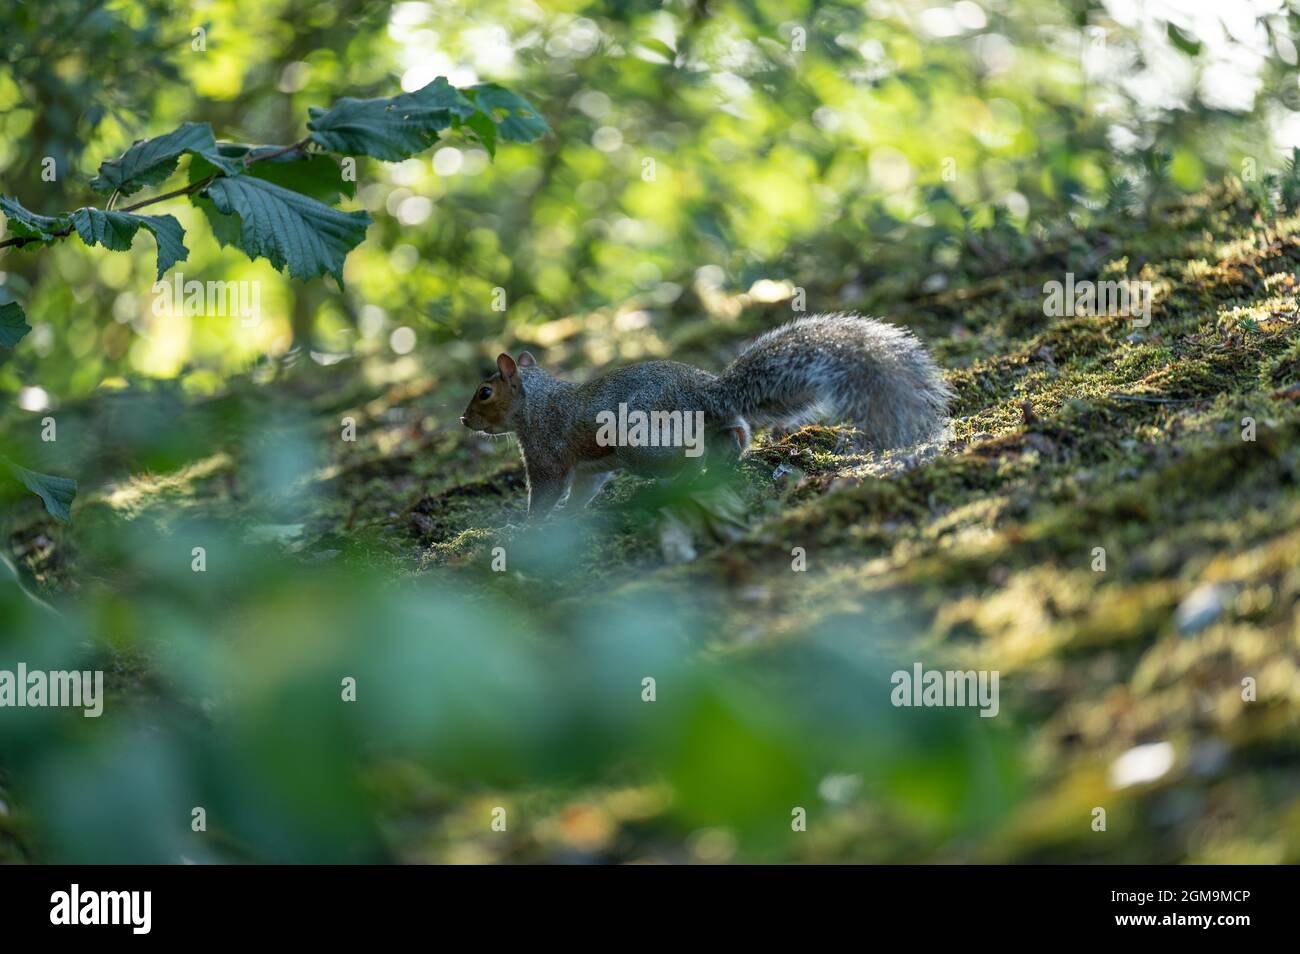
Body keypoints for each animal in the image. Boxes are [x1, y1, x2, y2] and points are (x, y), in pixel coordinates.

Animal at [462, 314, 951, 522]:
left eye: (484, 392)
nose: (464, 421)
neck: (536, 401)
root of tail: (704, 393)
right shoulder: (585, 469)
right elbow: (583, 491)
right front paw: (568, 517)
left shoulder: (545, 452)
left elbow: (545, 493)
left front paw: (527, 527)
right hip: (706, 428)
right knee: (736, 433)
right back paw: (723, 464)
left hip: (639, 442)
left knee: (687, 459)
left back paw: (681, 482)